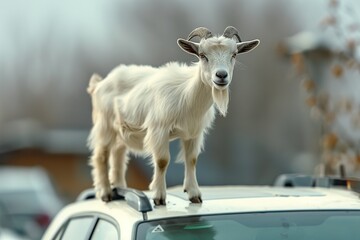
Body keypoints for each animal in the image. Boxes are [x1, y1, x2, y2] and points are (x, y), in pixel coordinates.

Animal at [88, 26, 260, 206]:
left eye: (234, 54)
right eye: (202, 55)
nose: (221, 75)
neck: (187, 95)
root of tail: (100, 83)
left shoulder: (194, 133)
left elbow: (192, 159)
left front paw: (194, 194)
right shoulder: (159, 129)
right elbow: (162, 161)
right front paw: (159, 196)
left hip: (121, 130)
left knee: (118, 155)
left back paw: (120, 187)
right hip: (104, 125)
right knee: (101, 156)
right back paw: (106, 193)